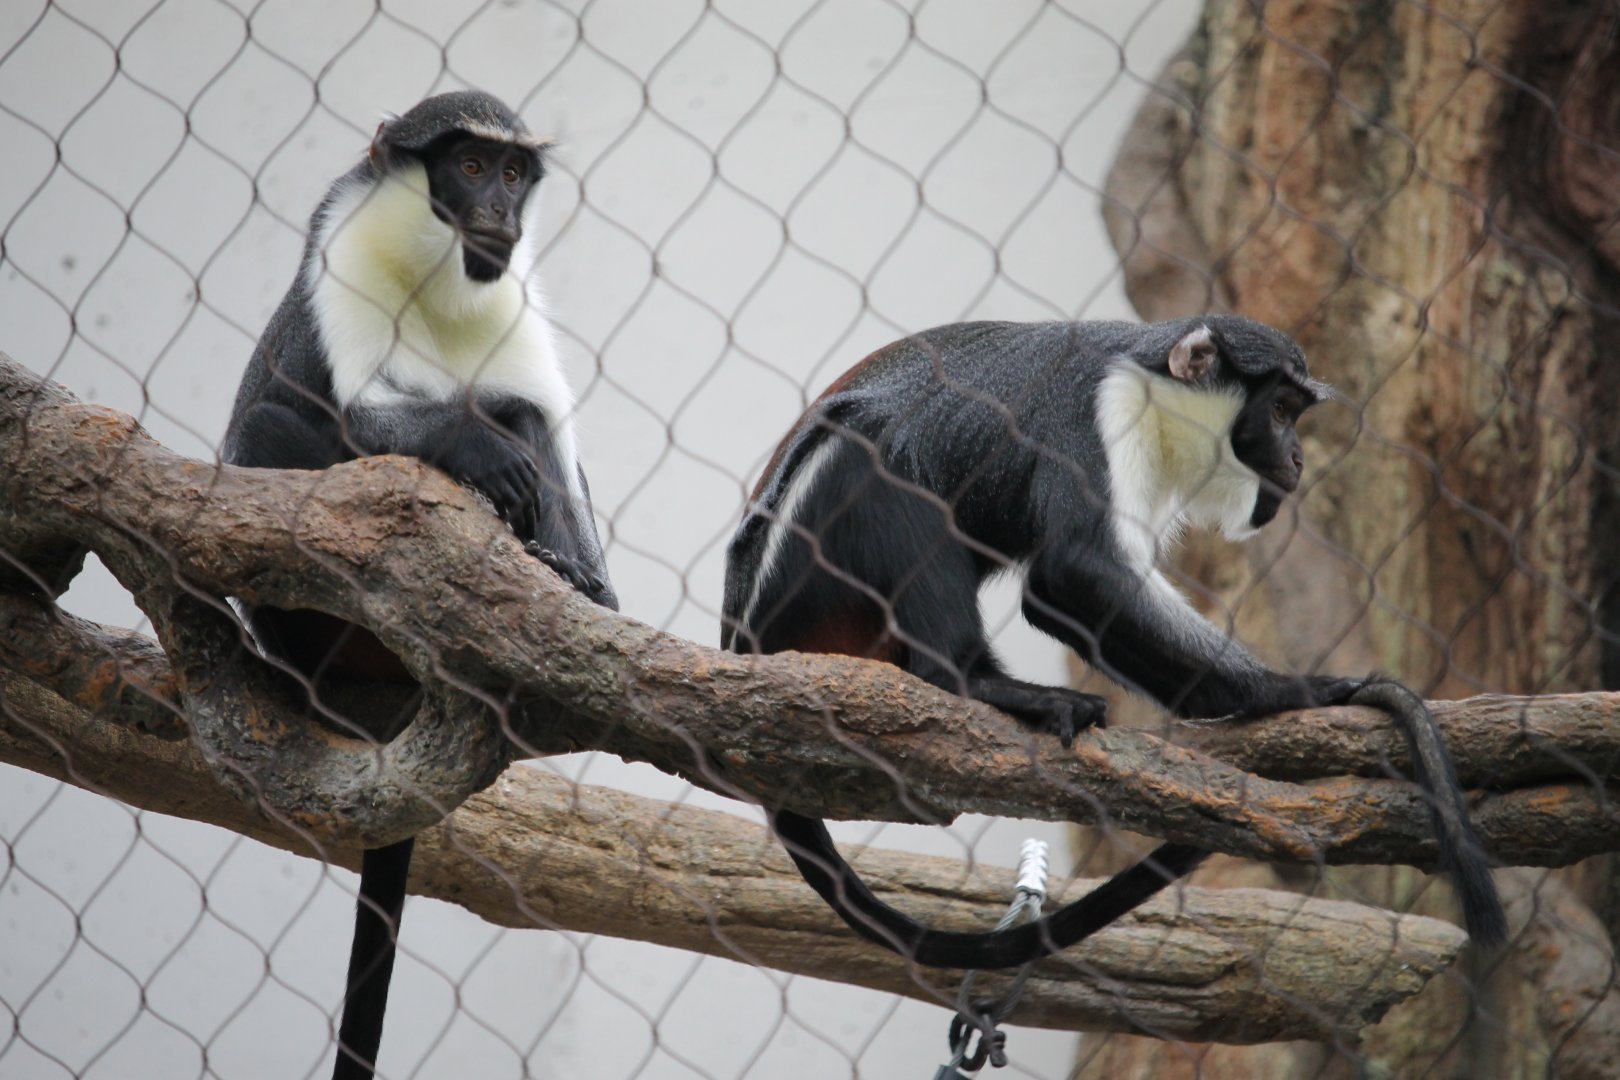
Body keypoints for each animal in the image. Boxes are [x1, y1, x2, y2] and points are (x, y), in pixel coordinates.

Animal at [221, 90, 616, 1080]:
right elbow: (362, 418)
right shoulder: (341, 250)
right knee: (275, 426)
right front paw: (476, 448)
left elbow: (544, 429)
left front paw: (583, 585)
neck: (445, 281)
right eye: (468, 166)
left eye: (513, 171)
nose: (500, 210)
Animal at [723, 316, 1506, 969]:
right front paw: (1295, 691)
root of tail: (743, 638)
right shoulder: (1097, 415)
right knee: (881, 463)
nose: (1298, 458)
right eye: (1280, 411)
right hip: (809, 563)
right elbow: (1071, 573)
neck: (1154, 377)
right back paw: (979, 682)